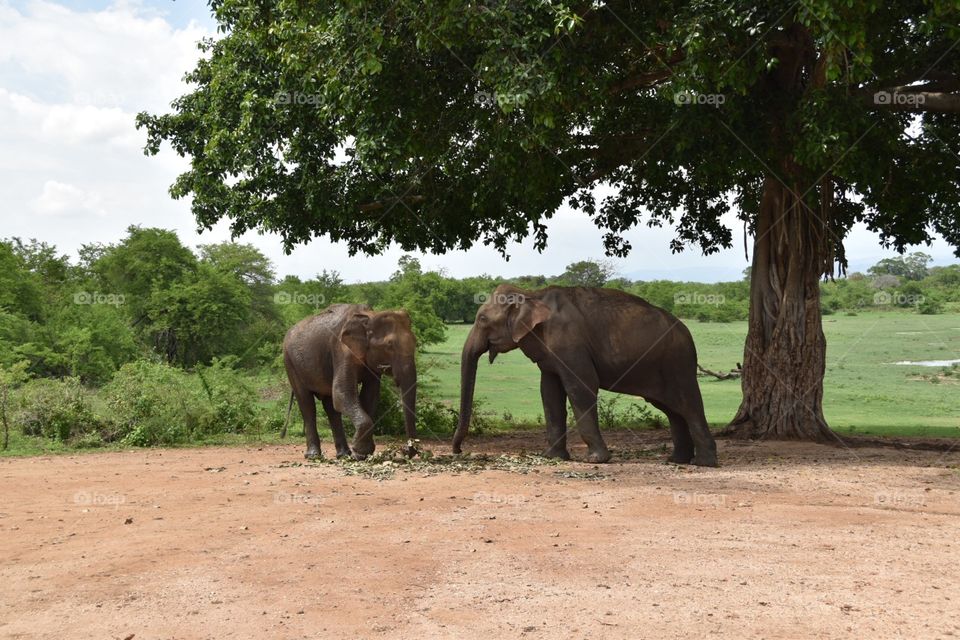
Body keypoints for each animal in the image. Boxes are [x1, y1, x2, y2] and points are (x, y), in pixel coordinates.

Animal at [282, 303, 417, 460]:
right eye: (389, 345)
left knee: (331, 407)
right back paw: (314, 456)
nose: (403, 450)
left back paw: (343, 455)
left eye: (415, 342)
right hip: (290, 362)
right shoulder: (341, 349)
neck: (368, 316)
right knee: (307, 404)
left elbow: (369, 396)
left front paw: (362, 454)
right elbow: (342, 392)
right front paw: (361, 453)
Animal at [453, 285, 718, 466]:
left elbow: (581, 387)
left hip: (678, 363)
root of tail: (686, 332)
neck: (530, 294)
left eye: (482, 319)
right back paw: (676, 461)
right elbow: (549, 392)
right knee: (672, 409)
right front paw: (551, 457)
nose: (459, 451)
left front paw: (595, 460)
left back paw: (703, 463)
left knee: (688, 405)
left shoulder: (570, 344)